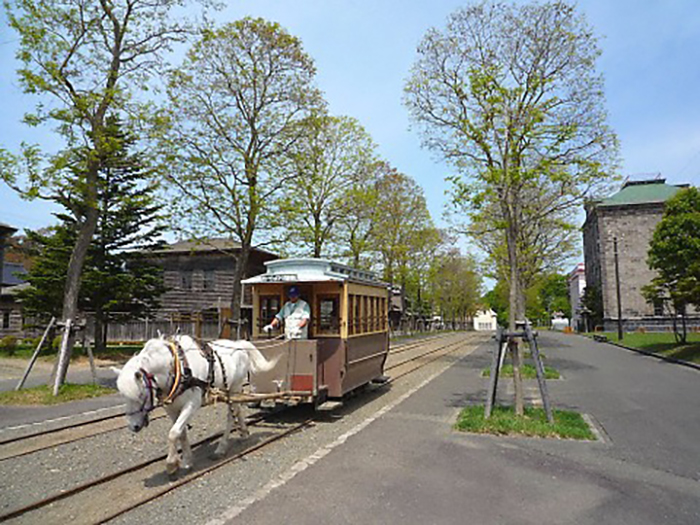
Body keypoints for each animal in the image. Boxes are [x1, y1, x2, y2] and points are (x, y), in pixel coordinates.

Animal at [115, 336, 276, 474]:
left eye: (140, 395)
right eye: (123, 396)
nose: (134, 426)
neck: (178, 367)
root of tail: (239, 345)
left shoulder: (192, 403)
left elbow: (173, 433)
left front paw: (172, 463)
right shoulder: (171, 408)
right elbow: (181, 433)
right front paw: (187, 460)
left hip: (234, 387)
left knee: (231, 416)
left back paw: (221, 448)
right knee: (237, 409)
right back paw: (244, 432)